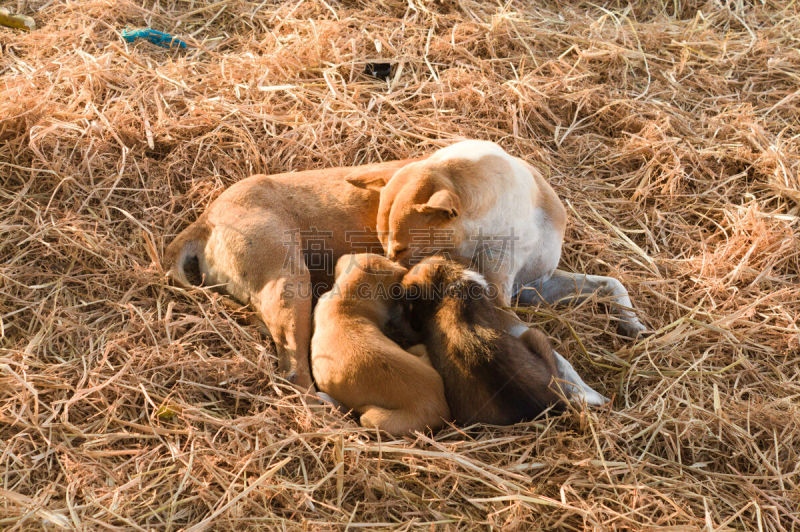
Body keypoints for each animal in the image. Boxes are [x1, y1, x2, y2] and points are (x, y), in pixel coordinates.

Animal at [166, 139, 648, 396]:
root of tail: (206, 218)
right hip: (290, 285)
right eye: (386, 248)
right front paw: (584, 392)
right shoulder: (501, 303)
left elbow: (611, 284)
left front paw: (633, 323)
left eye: (400, 249)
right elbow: (555, 354)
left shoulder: (534, 285)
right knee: (294, 370)